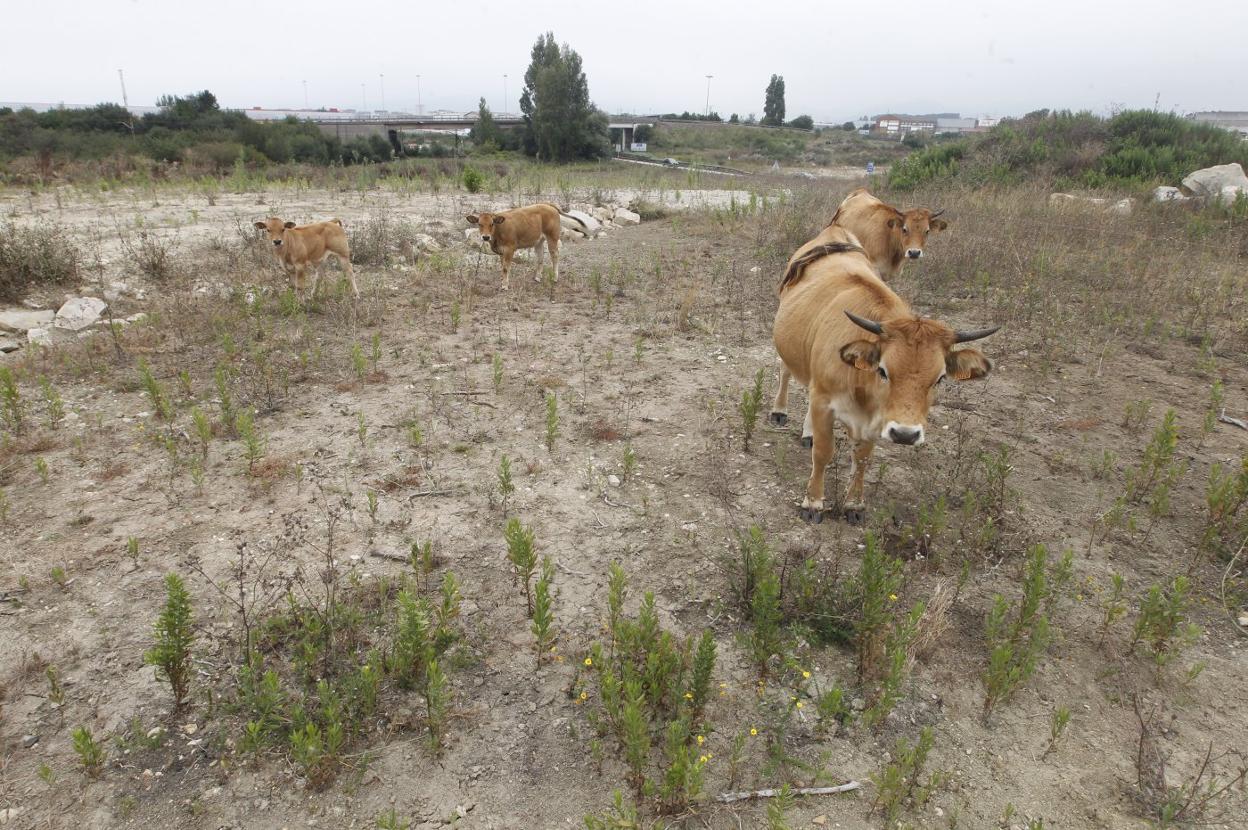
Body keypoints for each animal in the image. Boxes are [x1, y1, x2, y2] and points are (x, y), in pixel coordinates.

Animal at [763, 223, 998, 521]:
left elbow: (862, 458)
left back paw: (808, 432)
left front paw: (853, 504)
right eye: (884, 371)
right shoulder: (825, 401)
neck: (862, 387)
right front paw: (813, 502)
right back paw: (779, 411)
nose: (906, 434)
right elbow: (824, 453)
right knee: (786, 372)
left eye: (940, 378)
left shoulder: (874, 418)